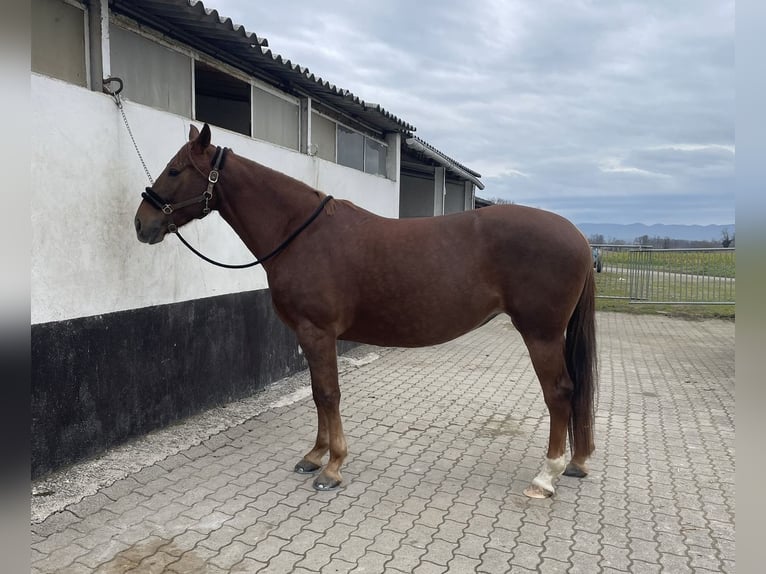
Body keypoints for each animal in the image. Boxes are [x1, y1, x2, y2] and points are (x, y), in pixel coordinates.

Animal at [134, 124, 597, 498]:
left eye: (175, 170)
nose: (142, 223)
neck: (301, 234)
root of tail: (578, 236)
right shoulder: (310, 336)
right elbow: (319, 395)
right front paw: (315, 455)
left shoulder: (317, 332)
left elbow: (328, 394)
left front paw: (332, 467)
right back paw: (574, 464)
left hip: (540, 333)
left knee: (559, 393)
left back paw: (546, 476)